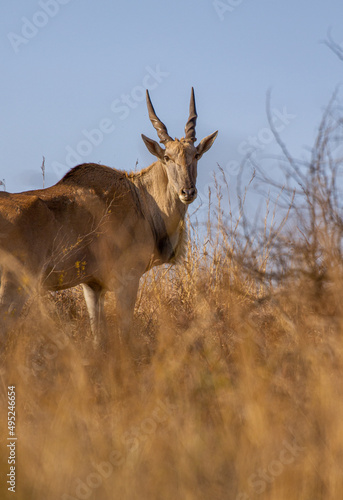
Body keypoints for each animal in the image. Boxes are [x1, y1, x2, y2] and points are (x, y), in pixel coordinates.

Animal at [0, 89, 219, 348]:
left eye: (196, 155)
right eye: (167, 157)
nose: (187, 192)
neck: (141, 198)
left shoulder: (92, 286)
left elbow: (98, 338)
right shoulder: (128, 279)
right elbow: (124, 334)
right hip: (14, 285)